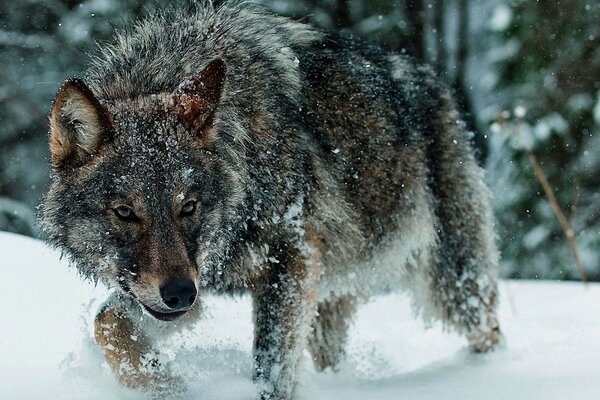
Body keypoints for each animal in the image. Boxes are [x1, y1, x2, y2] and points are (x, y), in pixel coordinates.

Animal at [39, 1, 502, 398]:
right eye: (124, 212)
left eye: (188, 207)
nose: (180, 295)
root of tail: (432, 78)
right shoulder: (189, 281)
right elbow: (107, 322)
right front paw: (161, 385)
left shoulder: (289, 257)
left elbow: (271, 369)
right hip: (327, 305)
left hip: (453, 283)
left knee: (489, 328)